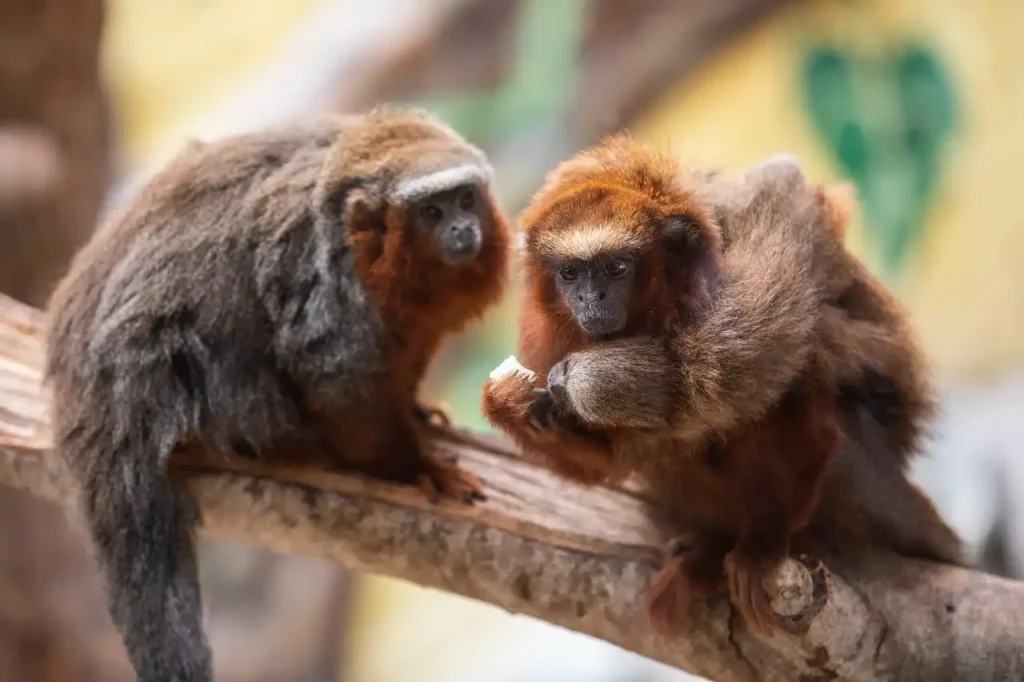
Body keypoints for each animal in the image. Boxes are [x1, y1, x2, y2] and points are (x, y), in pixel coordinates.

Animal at [44, 106, 510, 682]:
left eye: (465, 200)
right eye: (432, 212)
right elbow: (336, 377)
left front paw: (415, 410)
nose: (463, 229)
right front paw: (411, 467)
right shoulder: (335, 284)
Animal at [482, 136, 963, 636]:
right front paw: (511, 404)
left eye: (616, 268)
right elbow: (613, 460)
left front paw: (763, 547)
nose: (589, 299)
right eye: (571, 274)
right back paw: (710, 550)